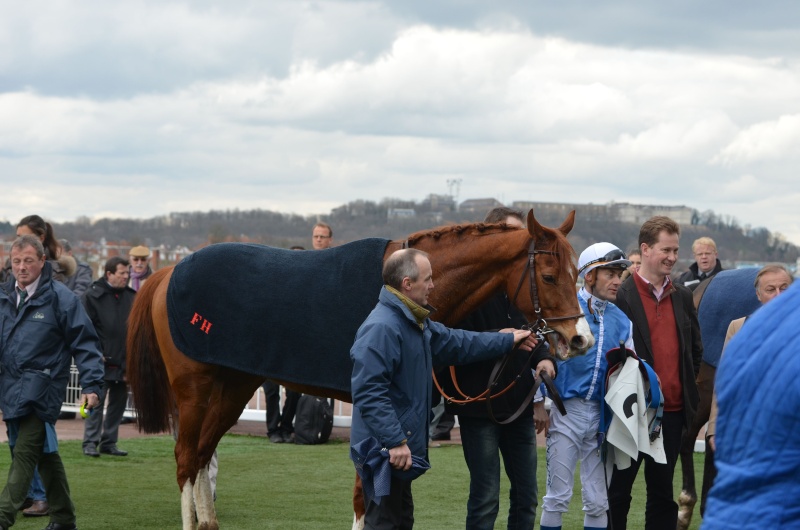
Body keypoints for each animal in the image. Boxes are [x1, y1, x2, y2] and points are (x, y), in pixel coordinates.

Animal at [128, 208, 592, 524]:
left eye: (577, 273)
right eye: (549, 276)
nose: (580, 339)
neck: (396, 292)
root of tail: (168, 271)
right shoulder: (372, 405)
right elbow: (365, 493)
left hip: (234, 384)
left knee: (203, 454)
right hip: (193, 387)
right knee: (186, 458)